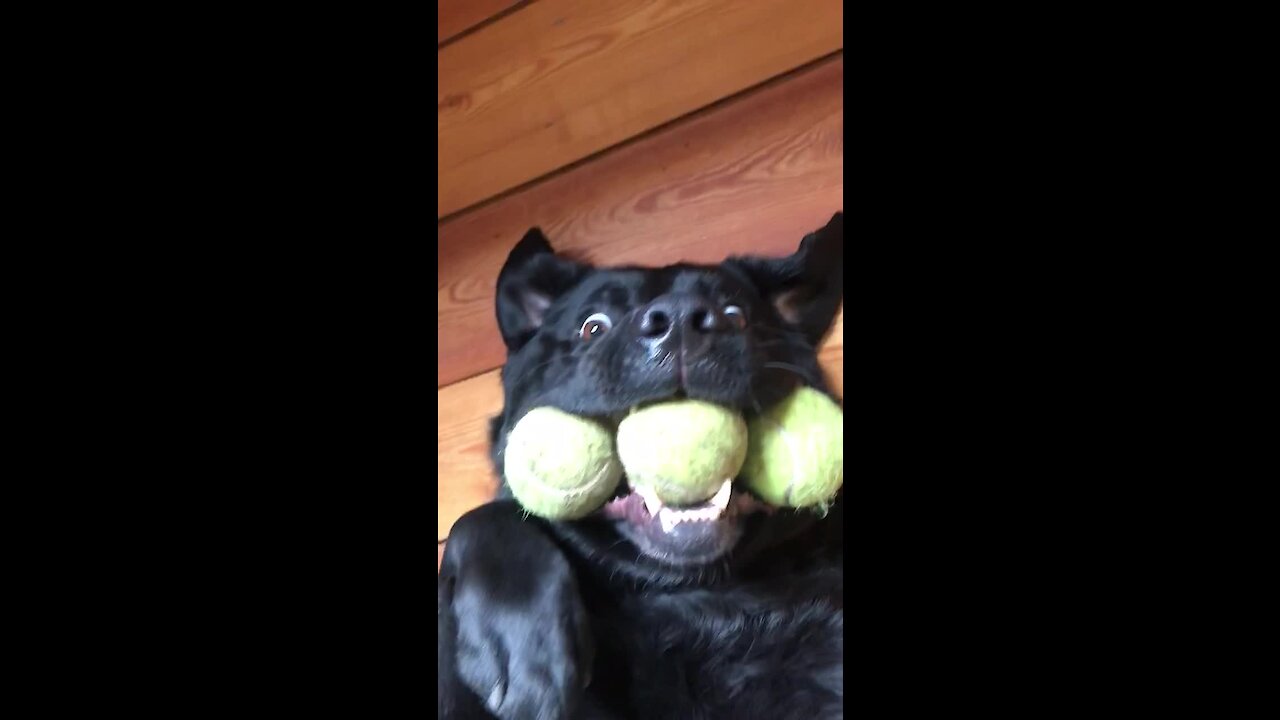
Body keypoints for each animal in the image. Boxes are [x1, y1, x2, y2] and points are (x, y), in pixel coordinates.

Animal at [445, 210, 844, 712]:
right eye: (592, 327)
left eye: (737, 316)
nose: (680, 321)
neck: (685, 588)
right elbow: (483, 515)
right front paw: (523, 647)